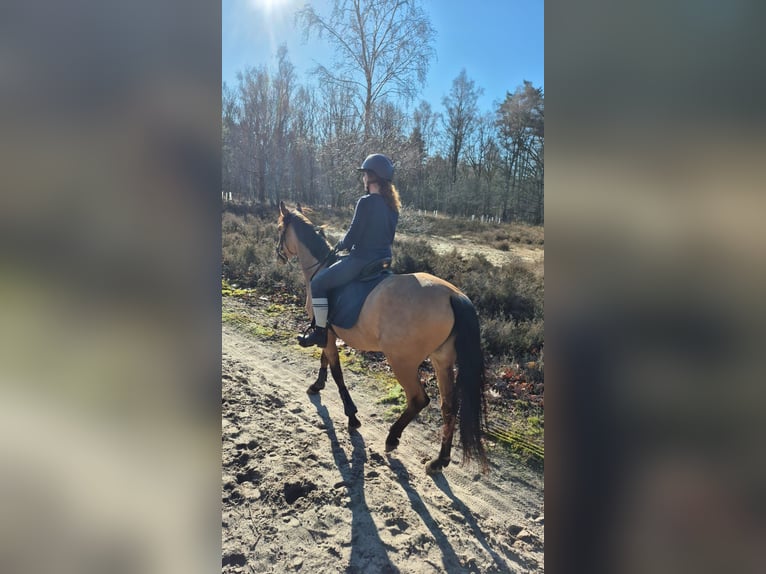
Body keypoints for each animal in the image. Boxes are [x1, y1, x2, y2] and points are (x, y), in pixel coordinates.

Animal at [276, 201, 488, 474]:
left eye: (279, 229)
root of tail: (453, 295)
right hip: (442, 361)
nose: (278, 255)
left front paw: (351, 415)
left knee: (418, 399)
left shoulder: (327, 332)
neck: (321, 267)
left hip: (402, 361)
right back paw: (439, 460)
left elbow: (336, 370)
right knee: (449, 407)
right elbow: (324, 360)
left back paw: (392, 438)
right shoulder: (328, 333)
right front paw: (317, 385)